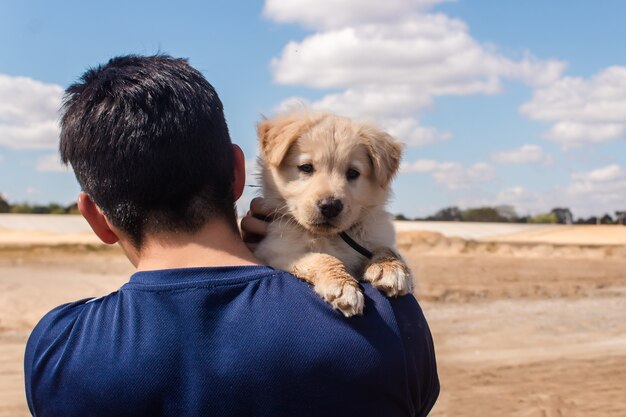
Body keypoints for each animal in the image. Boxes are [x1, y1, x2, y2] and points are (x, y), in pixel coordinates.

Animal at [251, 110, 412, 316]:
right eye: (306, 167)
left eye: (352, 173)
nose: (330, 206)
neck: (333, 237)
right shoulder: (276, 250)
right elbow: (321, 257)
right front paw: (342, 285)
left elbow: (386, 248)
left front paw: (390, 267)